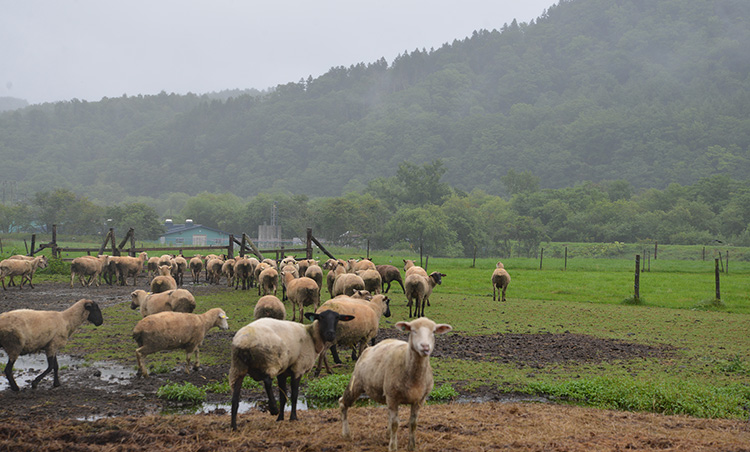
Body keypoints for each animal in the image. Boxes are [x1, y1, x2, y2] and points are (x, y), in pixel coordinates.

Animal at [340, 318, 452, 452]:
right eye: (413, 330)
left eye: (434, 332)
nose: (425, 347)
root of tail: (369, 348)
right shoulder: (393, 396)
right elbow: (395, 424)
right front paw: (393, 447)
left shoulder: (419, 399)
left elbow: (413, 423)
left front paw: (411, 447)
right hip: (356, 382)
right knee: (343, 403)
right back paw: (346, 434)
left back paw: (387, 435)